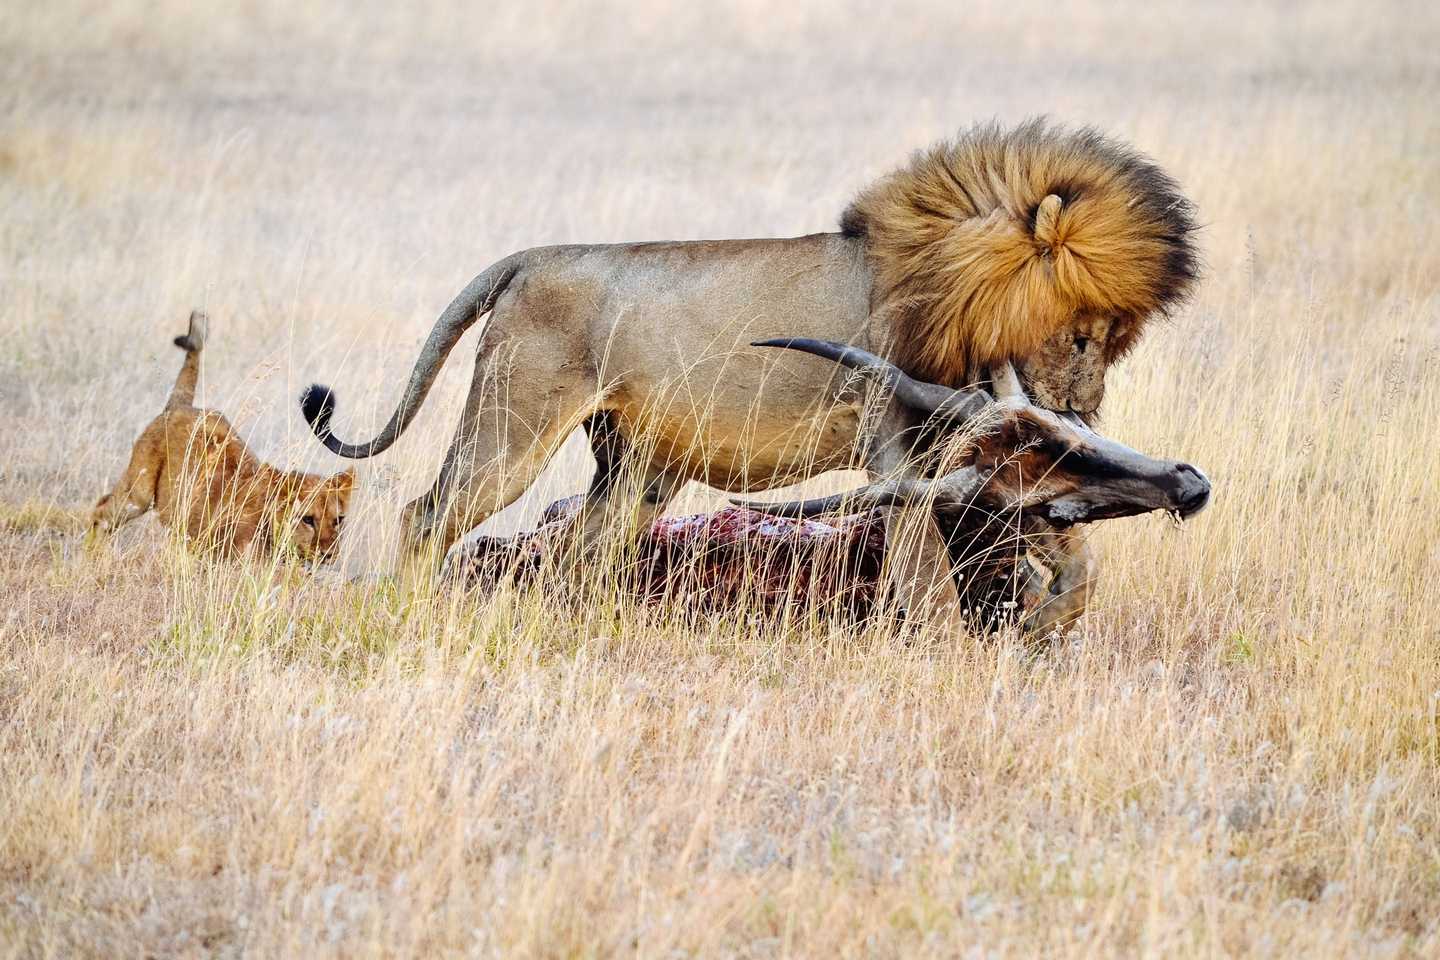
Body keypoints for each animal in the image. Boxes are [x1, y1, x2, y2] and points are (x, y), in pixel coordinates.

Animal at [91, 311, 354, 561]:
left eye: (338, 520)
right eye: (308, 519)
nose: (328, 554)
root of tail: (181, 405)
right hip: (137, 494)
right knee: (100, 511)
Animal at [303, 120, 1198, 627]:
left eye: (1111, 339)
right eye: (1081, 336)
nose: (1082, 408)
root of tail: (529, 259)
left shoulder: (987, 460)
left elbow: (1072, 558)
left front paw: (1046, 617)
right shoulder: (900, 455)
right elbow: (928, 579)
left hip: (638, 466)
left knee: (583, 548)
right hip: (512, 428)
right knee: (427, 515)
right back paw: (414, 615)